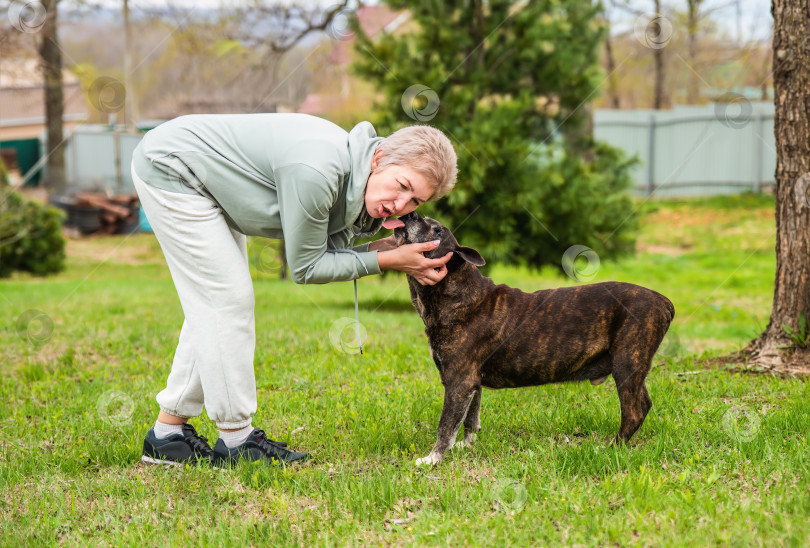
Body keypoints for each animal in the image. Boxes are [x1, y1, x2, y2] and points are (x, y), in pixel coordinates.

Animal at [392, 212, 676, 464]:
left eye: (438, 231)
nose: (411, 213)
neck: (456, 292)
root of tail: (663, 301)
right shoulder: (471, 383)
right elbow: (471, 418)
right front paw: (466, 445)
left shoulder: (458, 382)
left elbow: (446, 425)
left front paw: (433, 458)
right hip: (632, 366)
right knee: (644, 404)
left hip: (627, 362)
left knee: (633, 411)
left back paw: (611, 448)